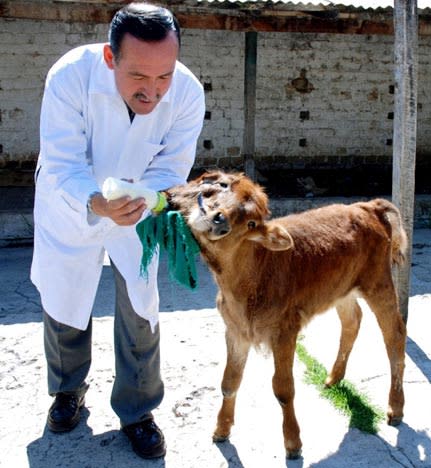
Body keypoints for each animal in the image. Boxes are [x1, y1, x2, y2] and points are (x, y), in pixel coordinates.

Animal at [167, 170, 406, 458]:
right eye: (221, 186)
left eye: (251, 223)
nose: (219, 220)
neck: (256, 270)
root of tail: (367, 206)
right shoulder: (235, 330)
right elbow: (229, 381)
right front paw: (221, 430)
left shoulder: (284, 331)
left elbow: (283, 388)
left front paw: (293, 443)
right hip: (341, 290)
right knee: (353, 320)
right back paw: (332, 378)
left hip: (378, 282)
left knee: (395, 335)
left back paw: (395, 408)